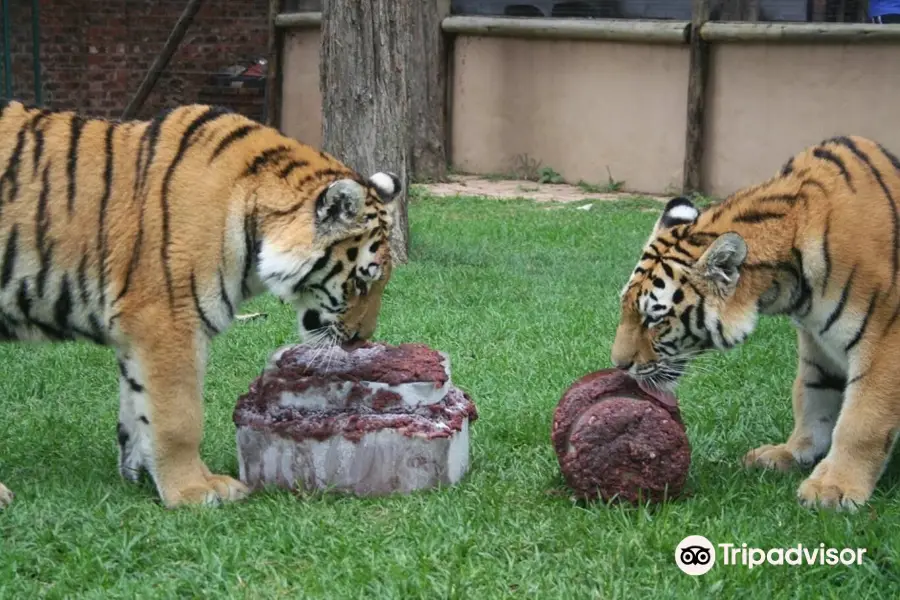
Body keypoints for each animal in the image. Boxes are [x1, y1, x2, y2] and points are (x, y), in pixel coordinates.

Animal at [0, 101, 400, 508]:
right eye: (362, 281)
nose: (361, 340)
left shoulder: (135, 336)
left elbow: (135, 410)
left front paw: (139, 475)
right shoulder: (167, 321)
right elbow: (178, 418)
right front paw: (192, 490)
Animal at [616, 135, 900, 510]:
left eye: (654, 318)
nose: (618, 366)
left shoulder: (885, 340)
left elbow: (862, 418)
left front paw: (834, 488)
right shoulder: (817, 341)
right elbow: (813, 397)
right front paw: (791, 454)